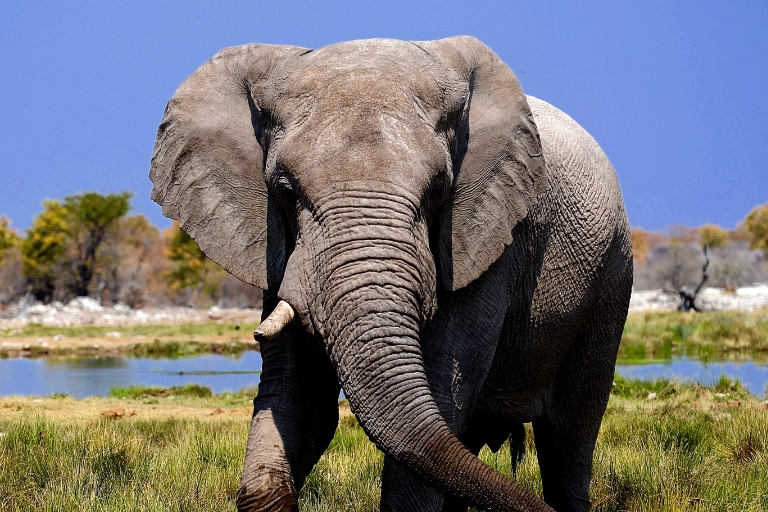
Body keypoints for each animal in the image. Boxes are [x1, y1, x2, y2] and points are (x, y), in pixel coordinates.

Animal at [149, 36, 632, 512]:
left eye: (438, 189)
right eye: (284, 191)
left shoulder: (492, 238)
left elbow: (443, 387)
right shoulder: (279, 250)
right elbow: (301, 400)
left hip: (612, 275)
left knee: (570, 433)